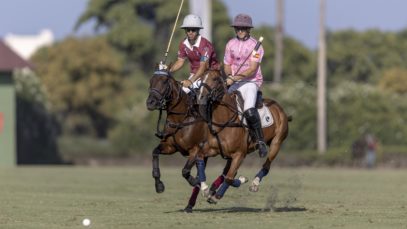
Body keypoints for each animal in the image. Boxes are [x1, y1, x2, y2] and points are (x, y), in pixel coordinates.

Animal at [147, 68, 231, 213]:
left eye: (164, 82)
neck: (181, 118)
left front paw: (197, 183)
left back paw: (212, 191)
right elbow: (155, 153)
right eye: (151, 81)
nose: (150, 103)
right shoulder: (170, 147)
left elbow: (185, 171)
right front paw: (159, 185)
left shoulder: (195, 149)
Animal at [197, 69, 290, 202]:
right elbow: (200, 157)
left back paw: (255, 183)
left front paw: (218, 195)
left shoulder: (239, 154)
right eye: (201, 78)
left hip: (276, 143)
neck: (224, 121)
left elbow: (229, 177)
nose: (201, 97)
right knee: (226, 171)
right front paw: (205, 189)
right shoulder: (213, 149)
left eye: (214, 79)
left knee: (267, 165)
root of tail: (279, 108)